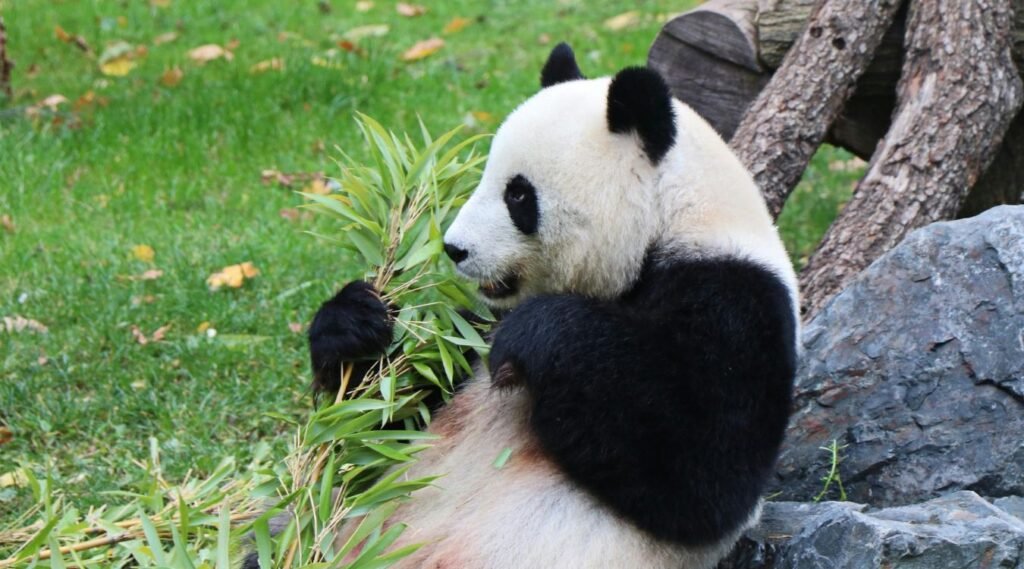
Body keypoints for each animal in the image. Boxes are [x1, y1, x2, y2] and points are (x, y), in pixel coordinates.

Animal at [306, 43, 799, 569]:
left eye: (518, 194)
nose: (454, 248)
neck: (672, 221)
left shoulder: (736, 298)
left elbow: (705, 473)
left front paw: (536, 335)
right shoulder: (471, 332)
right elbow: (389, 418)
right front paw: (355, 324)